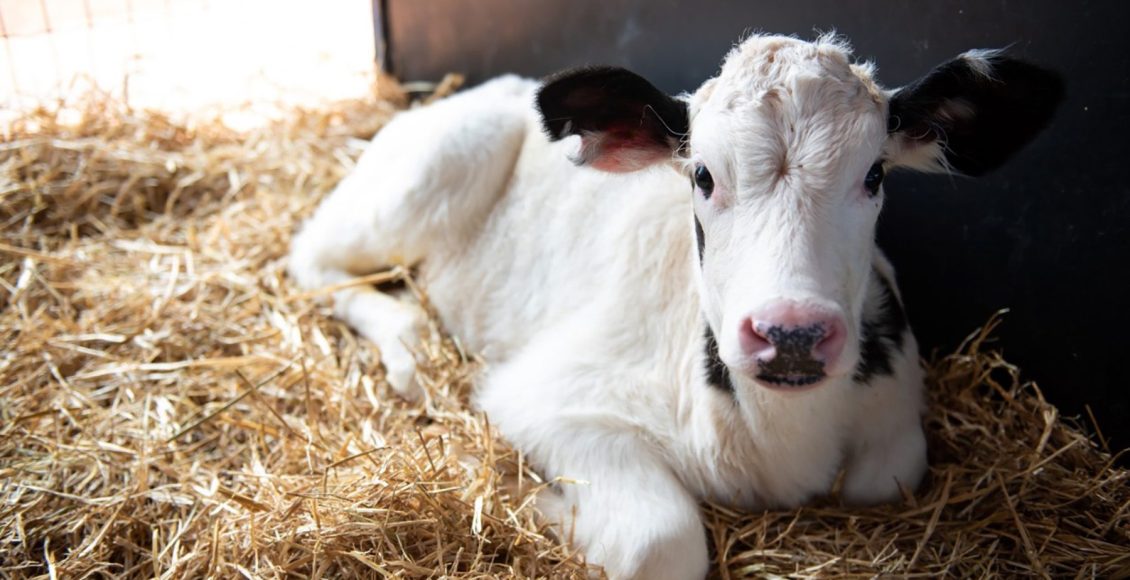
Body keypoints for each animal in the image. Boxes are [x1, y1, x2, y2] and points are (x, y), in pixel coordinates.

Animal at [287, 36, 1062, 578]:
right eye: (703, 175)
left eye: (874, 175)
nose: (791, 333)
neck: (780, 441)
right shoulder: (546, 395)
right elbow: (661, 541)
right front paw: (531, 494)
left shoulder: (895, 416)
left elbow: (886, 474)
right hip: (434, 168)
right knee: (309, 260)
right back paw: (409, 345)